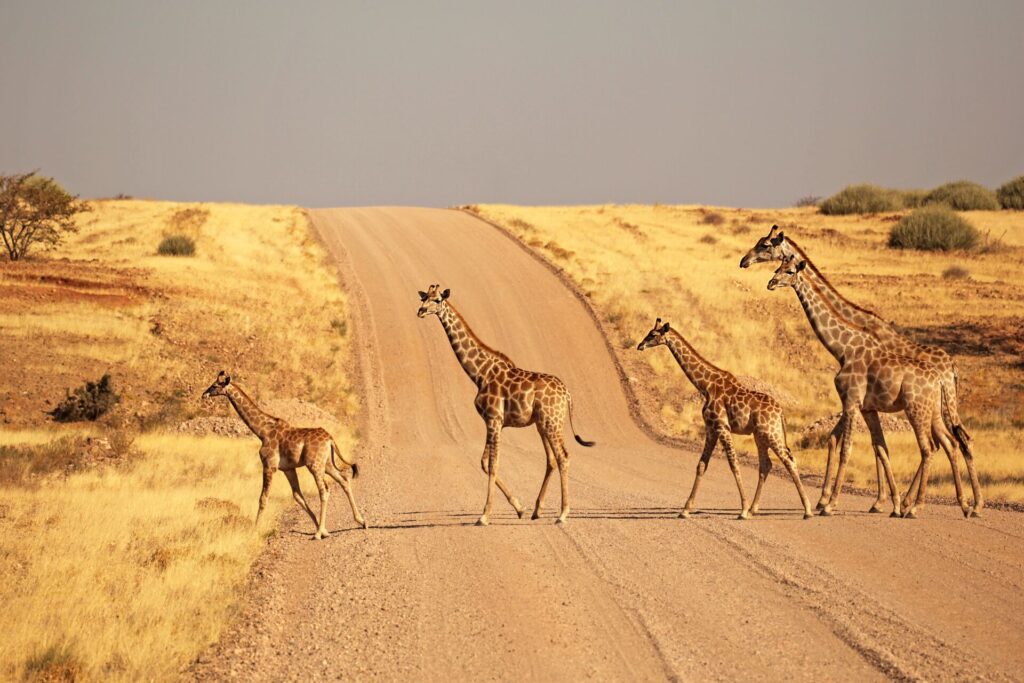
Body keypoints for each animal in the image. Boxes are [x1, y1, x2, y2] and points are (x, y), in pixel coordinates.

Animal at [201, 371, 367, 538]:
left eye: (214, 385)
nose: (204, 395)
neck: (262, 431)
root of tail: (330, 439)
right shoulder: (288, 469)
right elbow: (298, 496)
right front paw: (323, 528)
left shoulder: (269, 466)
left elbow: (263, 498)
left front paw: (255, 530)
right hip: (326, 464)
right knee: (344, 480)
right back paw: (361, 521)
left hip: (315, 465)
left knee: (324, 490)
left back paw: (319, 533)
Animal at [417, 284, 594, 525]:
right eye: (424, 297)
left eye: (437, 300)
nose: (420, 311)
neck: (479, 374)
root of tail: (567, 394)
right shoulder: (493, 422)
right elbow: (484, 462)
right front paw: (519, 508)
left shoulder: (494, 419)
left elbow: (493, 464)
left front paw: (484, 516)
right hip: (542, 424)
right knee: (551, 460)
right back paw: (537, 510)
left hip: (553, 422)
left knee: (563, 457)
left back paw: (563, 514)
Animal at [637, 319, 813, 519]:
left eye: (652, 334)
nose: (639, 345)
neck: (705, 386)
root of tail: (781, 412)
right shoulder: (711, 428)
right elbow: (701, 465)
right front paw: (685, 510)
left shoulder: (722, 427)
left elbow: (733, 463)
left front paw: (742, 509)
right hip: (760, 435)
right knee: (766, 464)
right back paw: (754, 509)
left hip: (771, 433)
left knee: (788, 460)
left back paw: (807, 510)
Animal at [740, 225, 981, 516]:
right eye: (776, 264)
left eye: (765, 245)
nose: (744, 262)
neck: (846, 345)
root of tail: (951, 368)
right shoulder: (864, 405)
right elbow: (866, 445)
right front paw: (872, 501)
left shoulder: (854, 401)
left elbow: (851, 447)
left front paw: (838, 503)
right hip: (936, 408)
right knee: (953, 441)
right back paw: (962, 504)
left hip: (928, 408)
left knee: (942, 444)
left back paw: (937, 504)